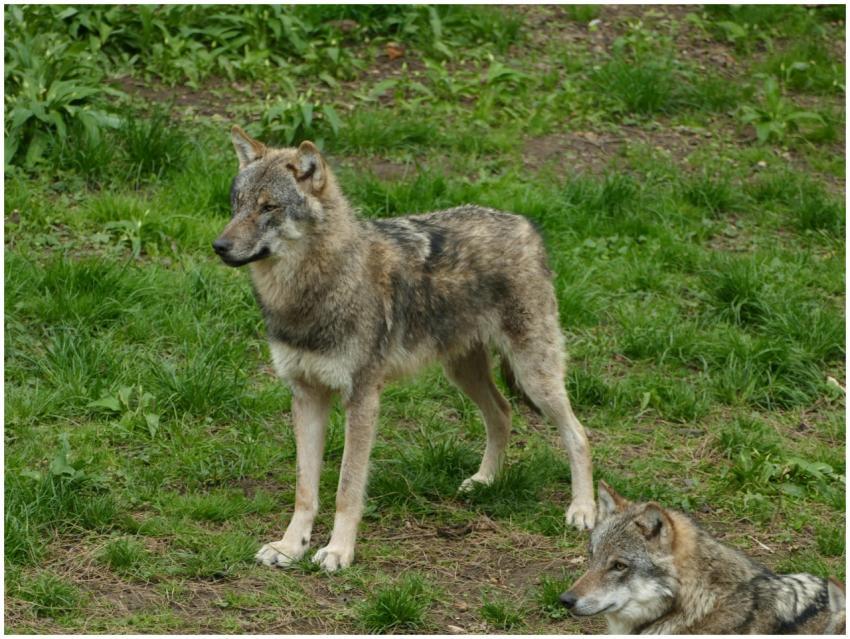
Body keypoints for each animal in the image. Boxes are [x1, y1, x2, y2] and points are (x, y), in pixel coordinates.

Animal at [212, 126, 596, 572]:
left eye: (268, 207)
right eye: (236, 204)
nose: (219, 245)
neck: (313, 289)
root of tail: (526, 224)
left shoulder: (362, 399)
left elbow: (347, 488)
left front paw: (338, 551)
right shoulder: (306, 395)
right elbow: (305, 489)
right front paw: (291, 547)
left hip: (534, 375)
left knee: (579, 433)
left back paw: (582, 510)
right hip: (463, 372)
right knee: (502, 413)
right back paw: (484, 481)